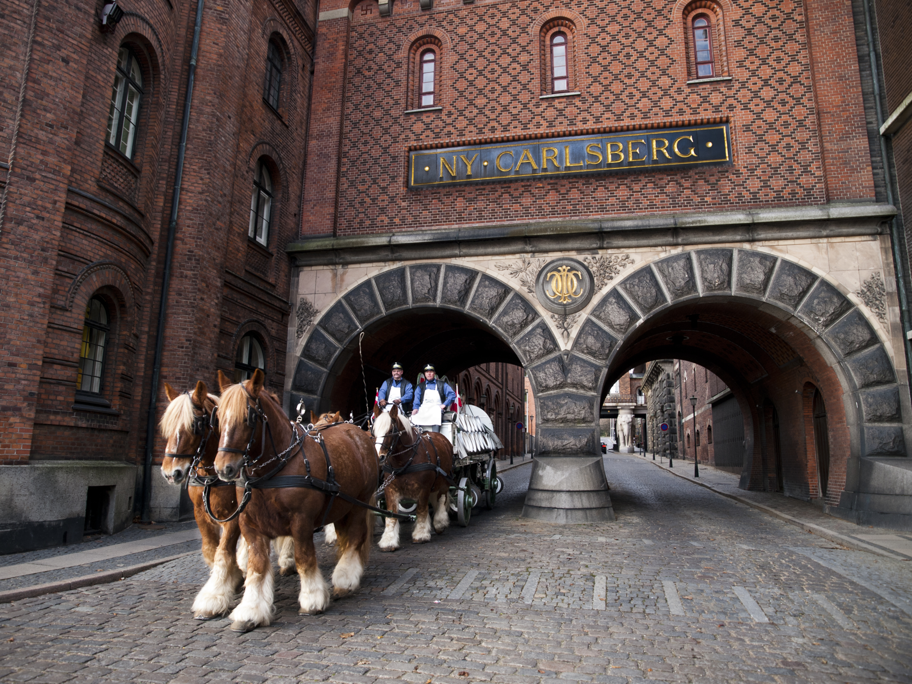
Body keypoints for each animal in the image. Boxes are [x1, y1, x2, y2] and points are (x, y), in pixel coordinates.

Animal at [213, 372, 378, 632]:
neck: (274, 469)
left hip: (359, 503)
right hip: (342, 505)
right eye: (218, 416)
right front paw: (250, 610)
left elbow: (304, 557)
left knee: (355, 536)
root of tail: (358, 433)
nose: (223, 468)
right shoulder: (250, 524)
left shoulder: (301, 521)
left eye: (249, 417)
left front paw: (312, 599)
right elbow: (256, 565)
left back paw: (345, 579)